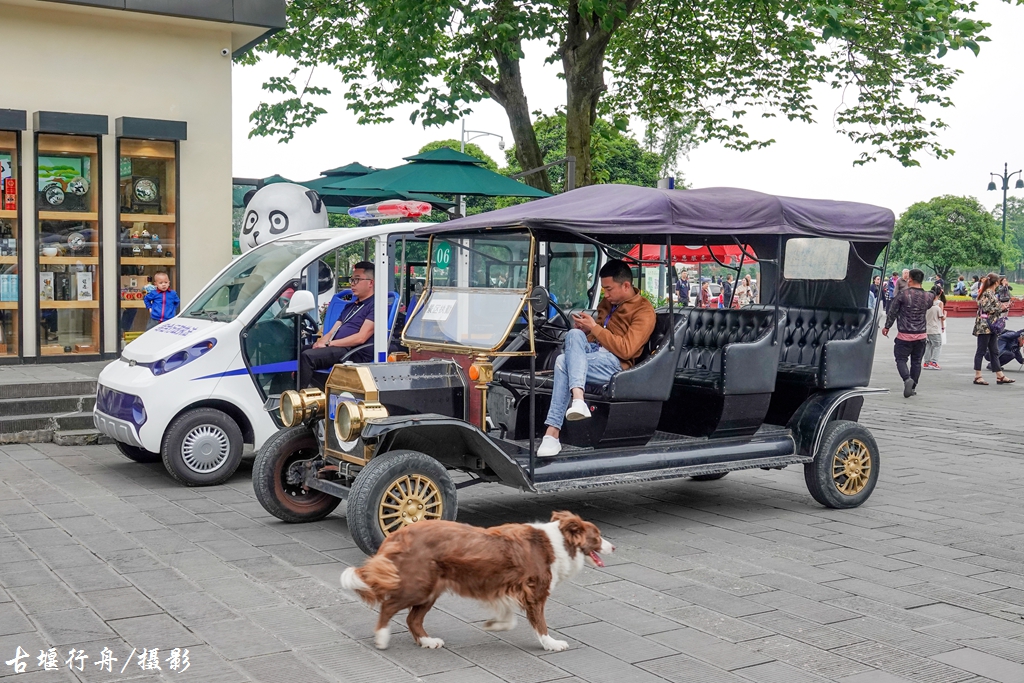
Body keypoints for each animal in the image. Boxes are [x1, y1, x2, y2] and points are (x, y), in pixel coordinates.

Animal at [339, 511, 610, 651]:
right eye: (597, 537)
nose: (613, 546)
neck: (558, 542)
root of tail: (397, 534)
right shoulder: (535, 593)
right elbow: (540, 624)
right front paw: (551, 644)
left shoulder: (506, 587)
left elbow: (508, 618)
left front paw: (493, 625)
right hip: (419, 585)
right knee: (389, 606)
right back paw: (382, 638)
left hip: (431, 590)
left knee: (412, 618)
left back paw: (428, 641)